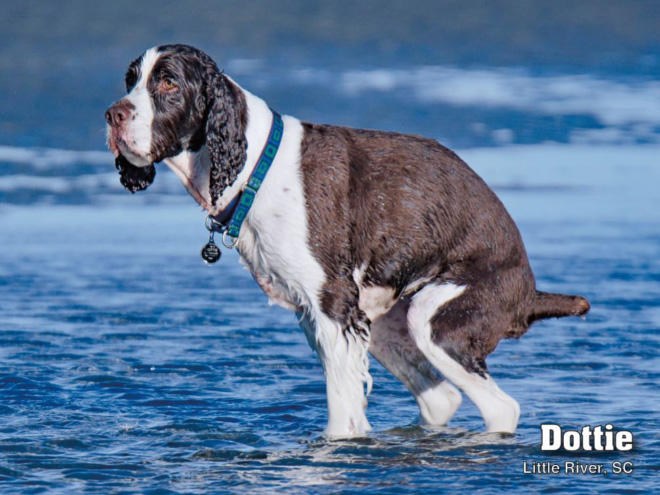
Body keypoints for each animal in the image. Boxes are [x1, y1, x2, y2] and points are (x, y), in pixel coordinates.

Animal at [105, 43, 592, 438]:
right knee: (443, 399)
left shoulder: (334, 305)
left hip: (438, 320)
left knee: (502, 408)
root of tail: (530, 292)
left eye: (168, 81)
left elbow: (343, 419)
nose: (113, 114)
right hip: (388, 322)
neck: (255, 165)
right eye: (130, 80)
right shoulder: (318, 314)